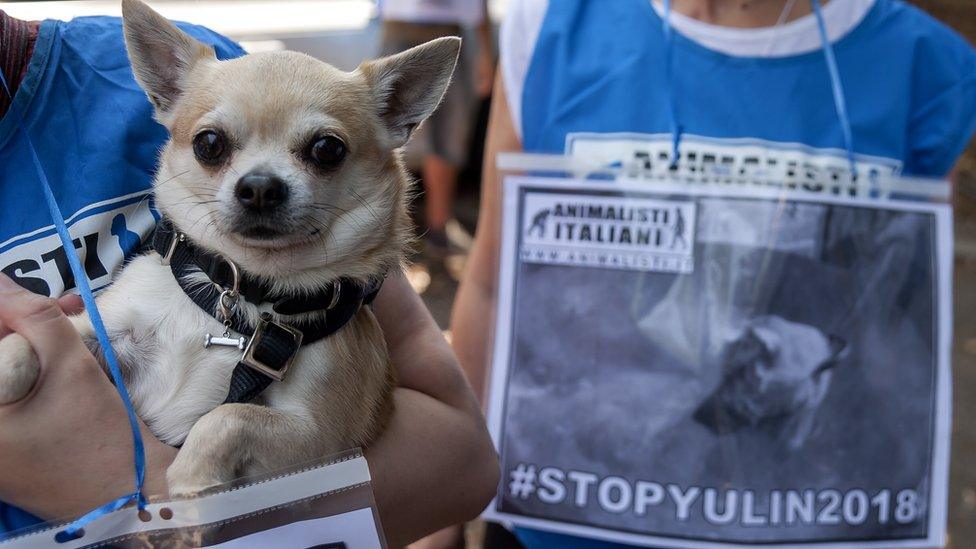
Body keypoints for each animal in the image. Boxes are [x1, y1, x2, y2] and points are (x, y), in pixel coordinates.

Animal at [0, 0, 462, 494]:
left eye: (327, 149)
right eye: (209, 144)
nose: (259, 187)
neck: (238, 295)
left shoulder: (323, 440)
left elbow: (228, 418)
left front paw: (189, 483)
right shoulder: (106, 332)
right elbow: (37, 338)